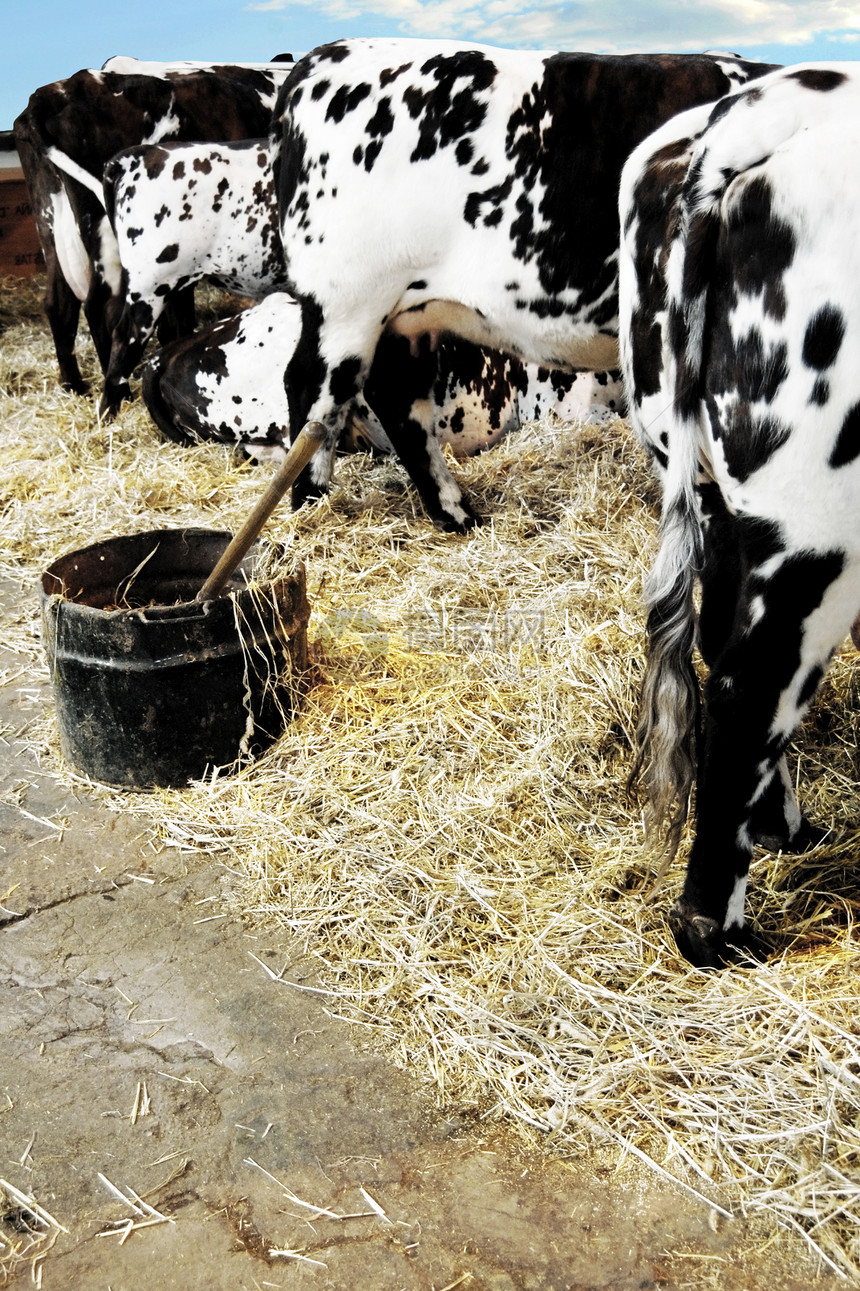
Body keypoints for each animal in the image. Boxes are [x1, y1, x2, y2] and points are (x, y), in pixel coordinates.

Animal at [271, 36, 774, 529]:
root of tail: (318, 58)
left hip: (408, 314)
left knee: (396, 394)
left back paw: (454, 512)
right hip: (348, 301)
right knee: (314, 386)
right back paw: (311, 505)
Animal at [619, 62, 860, 970]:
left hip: (701, 477)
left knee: (721, 640)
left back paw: (781, 827)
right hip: (820, 528)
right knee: (748, 686)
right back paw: (713, 928)